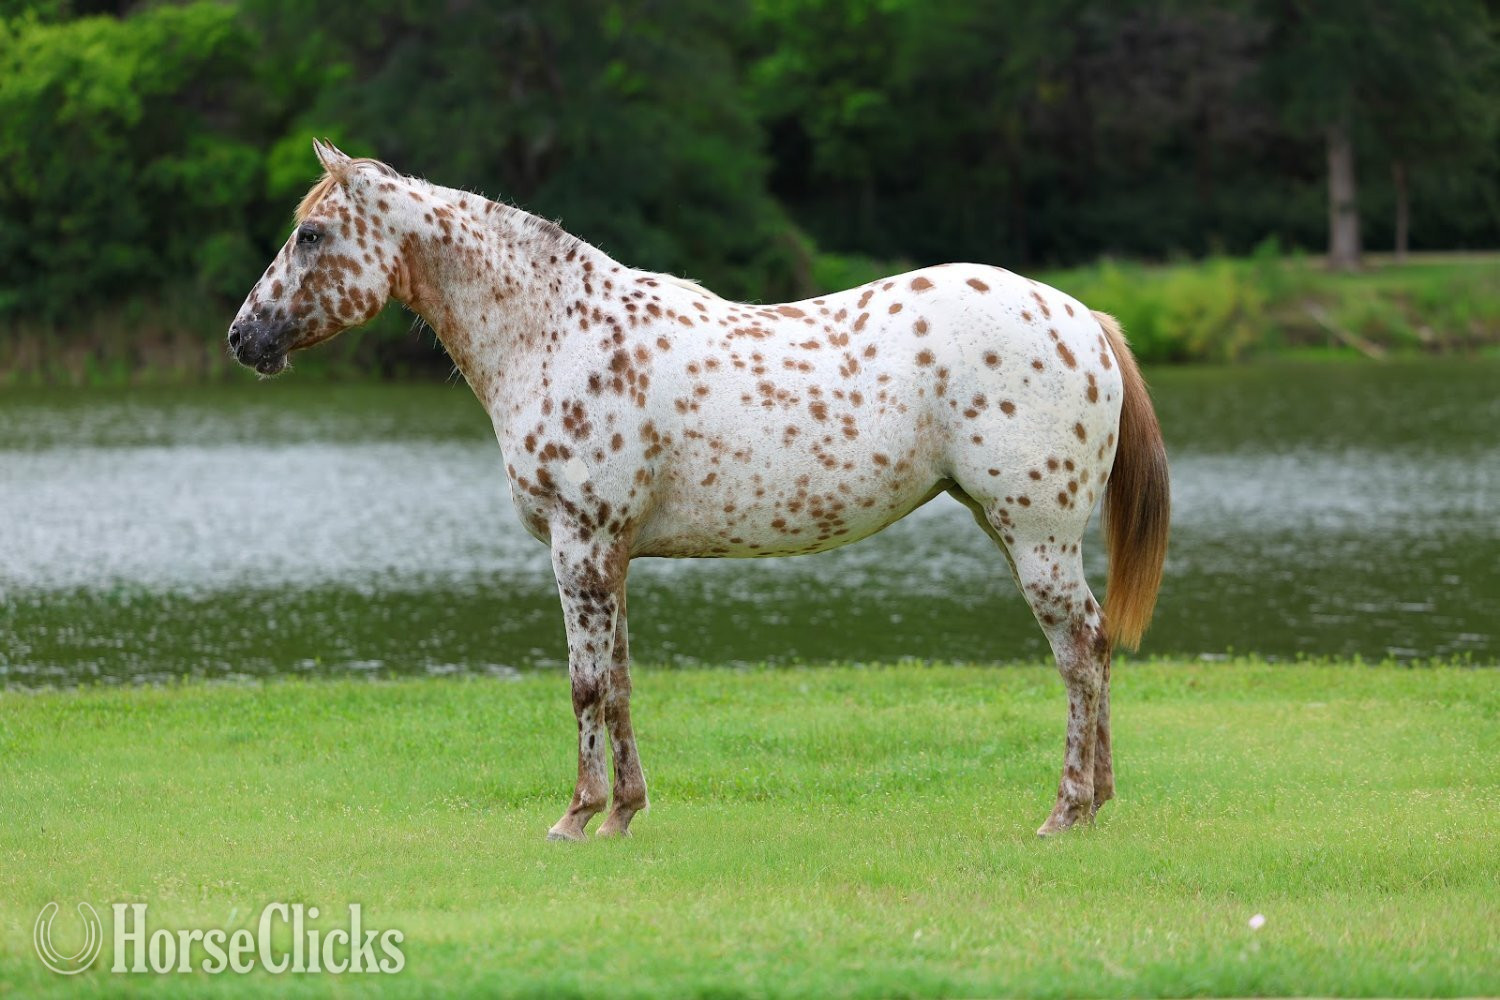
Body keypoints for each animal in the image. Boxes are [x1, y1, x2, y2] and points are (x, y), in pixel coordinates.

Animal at [229, 141, 1170, 839]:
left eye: (312, 235)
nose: (244, 337)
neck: (557, 333)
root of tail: (1086, 319)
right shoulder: (611, 555)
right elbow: (619, 682)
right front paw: (623, 814)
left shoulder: (580, 547)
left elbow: (584, 685)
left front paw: (575, 817)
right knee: (1093, 650)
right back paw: (1099, 805)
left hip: (1036, 538)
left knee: (1080, 650)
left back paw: (1066, 811)